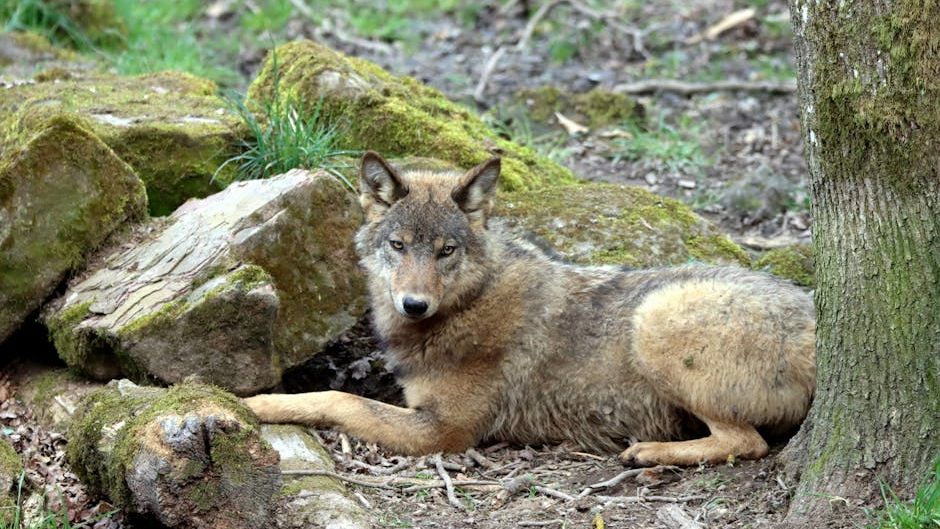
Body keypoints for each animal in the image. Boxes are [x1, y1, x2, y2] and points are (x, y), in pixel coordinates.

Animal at [244, 151, 816, 466]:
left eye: (446, 251)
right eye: (399, 246)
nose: (413, 304)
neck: (469, 304)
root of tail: (815, 321)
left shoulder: (443, 432)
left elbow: (336, 399)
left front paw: (255, 404)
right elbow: (343, 394)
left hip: (655, 319)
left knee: (747, 442)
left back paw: (651, 452)